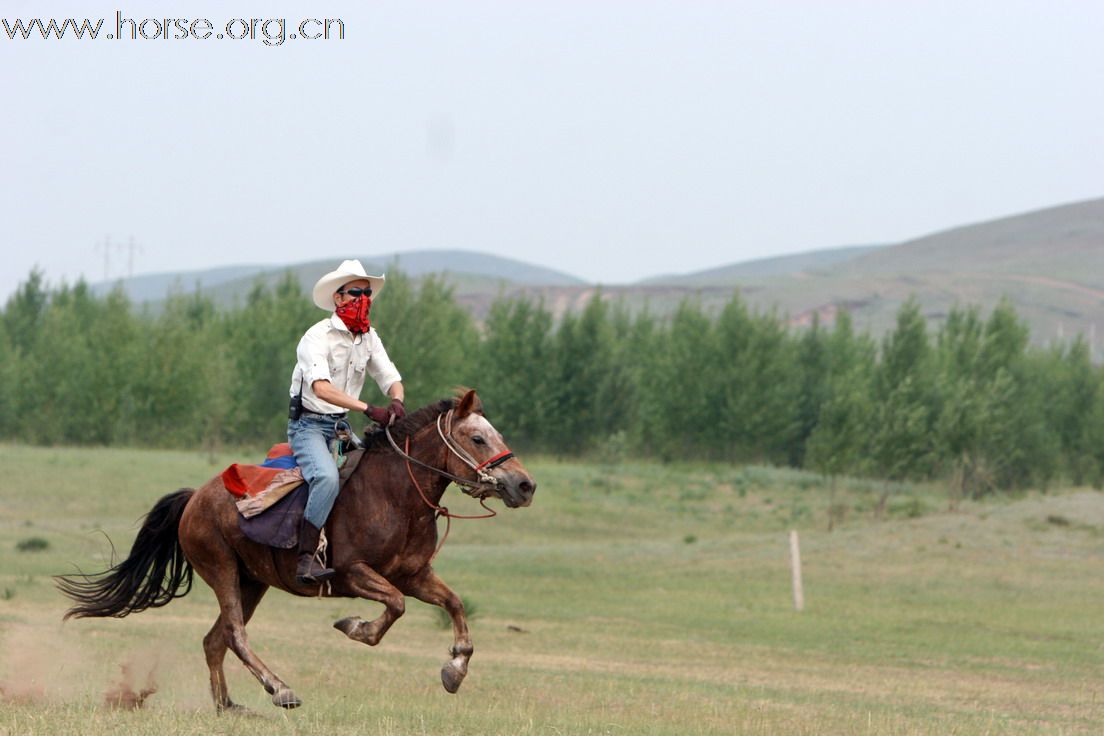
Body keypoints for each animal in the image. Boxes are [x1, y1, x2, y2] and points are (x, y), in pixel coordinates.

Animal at [58, 390, 536, 715]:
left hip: (252, 582)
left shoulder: (414, 574)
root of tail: (195, 498)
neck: (396, 494)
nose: (525, 485)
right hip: (222, 570)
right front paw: (354, 627)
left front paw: (455, 670)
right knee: (234, 634)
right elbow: (396, 607)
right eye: (477, 438)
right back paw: (280, 689)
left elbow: (453, 604)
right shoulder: (354, 572)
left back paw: (228, 706)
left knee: (214, 640)